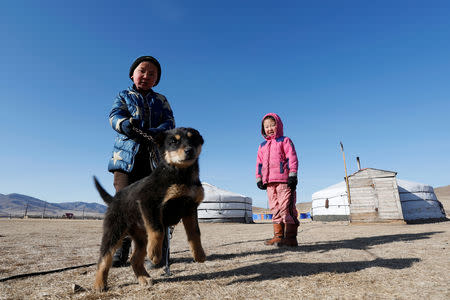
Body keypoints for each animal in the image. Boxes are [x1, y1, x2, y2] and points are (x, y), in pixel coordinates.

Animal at [95, 126, 207, 290]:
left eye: (193, 139)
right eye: (173, 142)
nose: (189, 150)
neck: (181, 174)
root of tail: (114, 199)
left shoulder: (190, 208)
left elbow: (195, 233)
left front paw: (199, 254)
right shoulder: (148, 203)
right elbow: (158, 229)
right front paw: (154, 253)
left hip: (141, 237)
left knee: (134, 259)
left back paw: (144, 278)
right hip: (114, 231)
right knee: (104, 259)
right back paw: (99, 284)